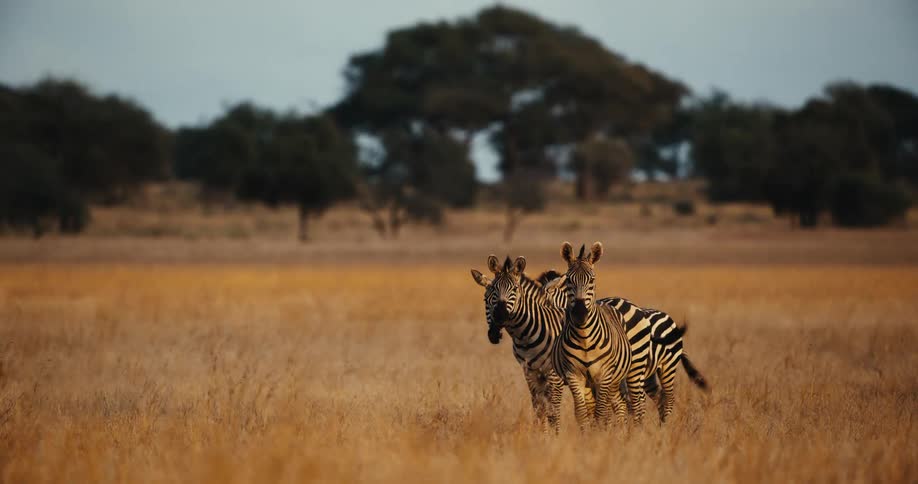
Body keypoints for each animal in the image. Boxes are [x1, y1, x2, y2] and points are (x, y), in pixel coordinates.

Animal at [470, 254, 569, 432]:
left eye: (515, 290)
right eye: (486, 299)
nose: (500, 316)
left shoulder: (554, 375)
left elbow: (553, 412)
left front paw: (556, 435)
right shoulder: (530, 372)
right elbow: (539, 409)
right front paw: (542, 435)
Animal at [552, 241, 633, 430]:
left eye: (591, 280)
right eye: (568, 280)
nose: (580, 314)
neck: (584, 338)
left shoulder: (604, 375)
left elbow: (601, 414)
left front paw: (600, 434)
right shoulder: (573, 374)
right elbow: (582, 414)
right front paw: (587, 435)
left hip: (614, 379)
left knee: (618, 407)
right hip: (591, 383)